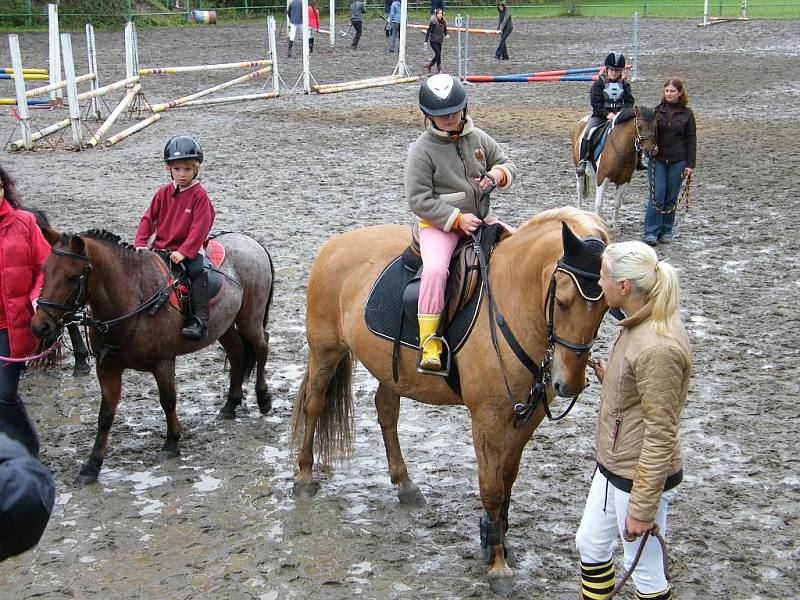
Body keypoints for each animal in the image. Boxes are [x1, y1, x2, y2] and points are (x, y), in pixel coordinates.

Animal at [32, 227, 276, 486]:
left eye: (72, 277)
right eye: (44, 271)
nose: (40, 326)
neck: (132, 297)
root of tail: (250, 241)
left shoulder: (163, 362)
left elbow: (168, 400)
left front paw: (171, 442)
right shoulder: (107, 367)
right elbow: (105, 415)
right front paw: (91, 466)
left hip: (249, 319)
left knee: (262, 346)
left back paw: (263, 398)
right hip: (224, 326)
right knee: (237, 353)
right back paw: (230, 405)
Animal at [290, 207, 608, 596]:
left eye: (606, 305)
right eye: (562, 301)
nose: (569, 383)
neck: (511, 303)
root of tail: (335, 244)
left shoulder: (525, 418)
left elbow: (508, 480)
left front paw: (497, 541)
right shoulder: (486, 420)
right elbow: (491, 487)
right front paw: (497, 564)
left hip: (388, 368)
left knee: (386, 413)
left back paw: (405, 485)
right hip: (326, 350)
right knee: (314, 405)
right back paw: (305, 476)